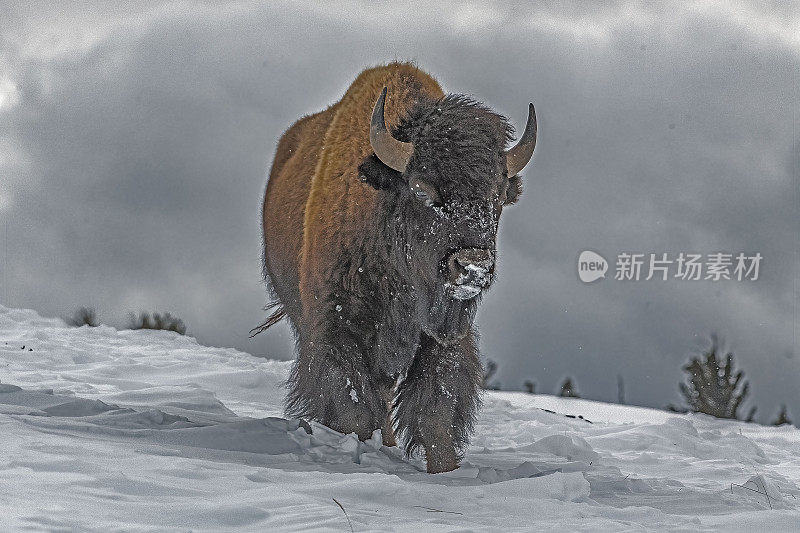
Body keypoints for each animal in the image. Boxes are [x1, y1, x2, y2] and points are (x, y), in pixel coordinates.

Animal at [260, 60, 536, 472]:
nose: (472, 266)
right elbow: (354, 408)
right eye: (421, 188)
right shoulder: (338, 329)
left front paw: (445, 471)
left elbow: (435, 409)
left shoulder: (442, 337)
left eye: (499, 196)